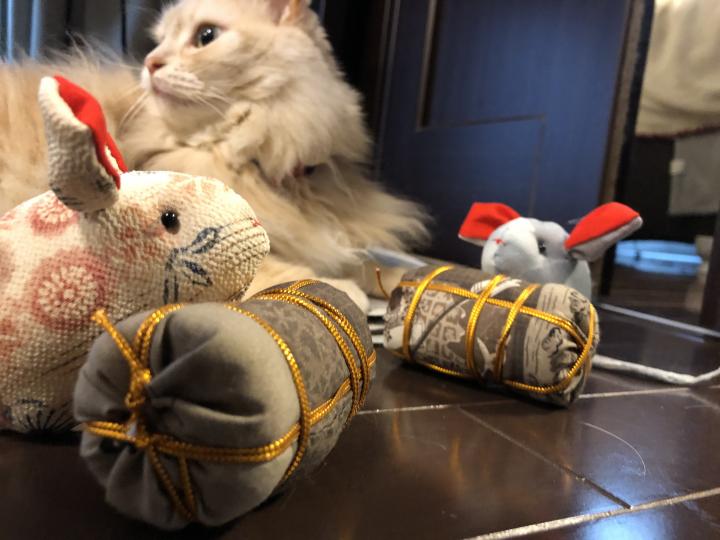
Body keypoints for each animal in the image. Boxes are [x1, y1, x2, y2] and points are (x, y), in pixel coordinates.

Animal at [0, 0, 430, 310]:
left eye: (206, 35)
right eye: (158, 43)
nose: (150, 63)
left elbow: (373, 262)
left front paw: (410, 279)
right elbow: (273, 264)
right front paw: (341, 288)